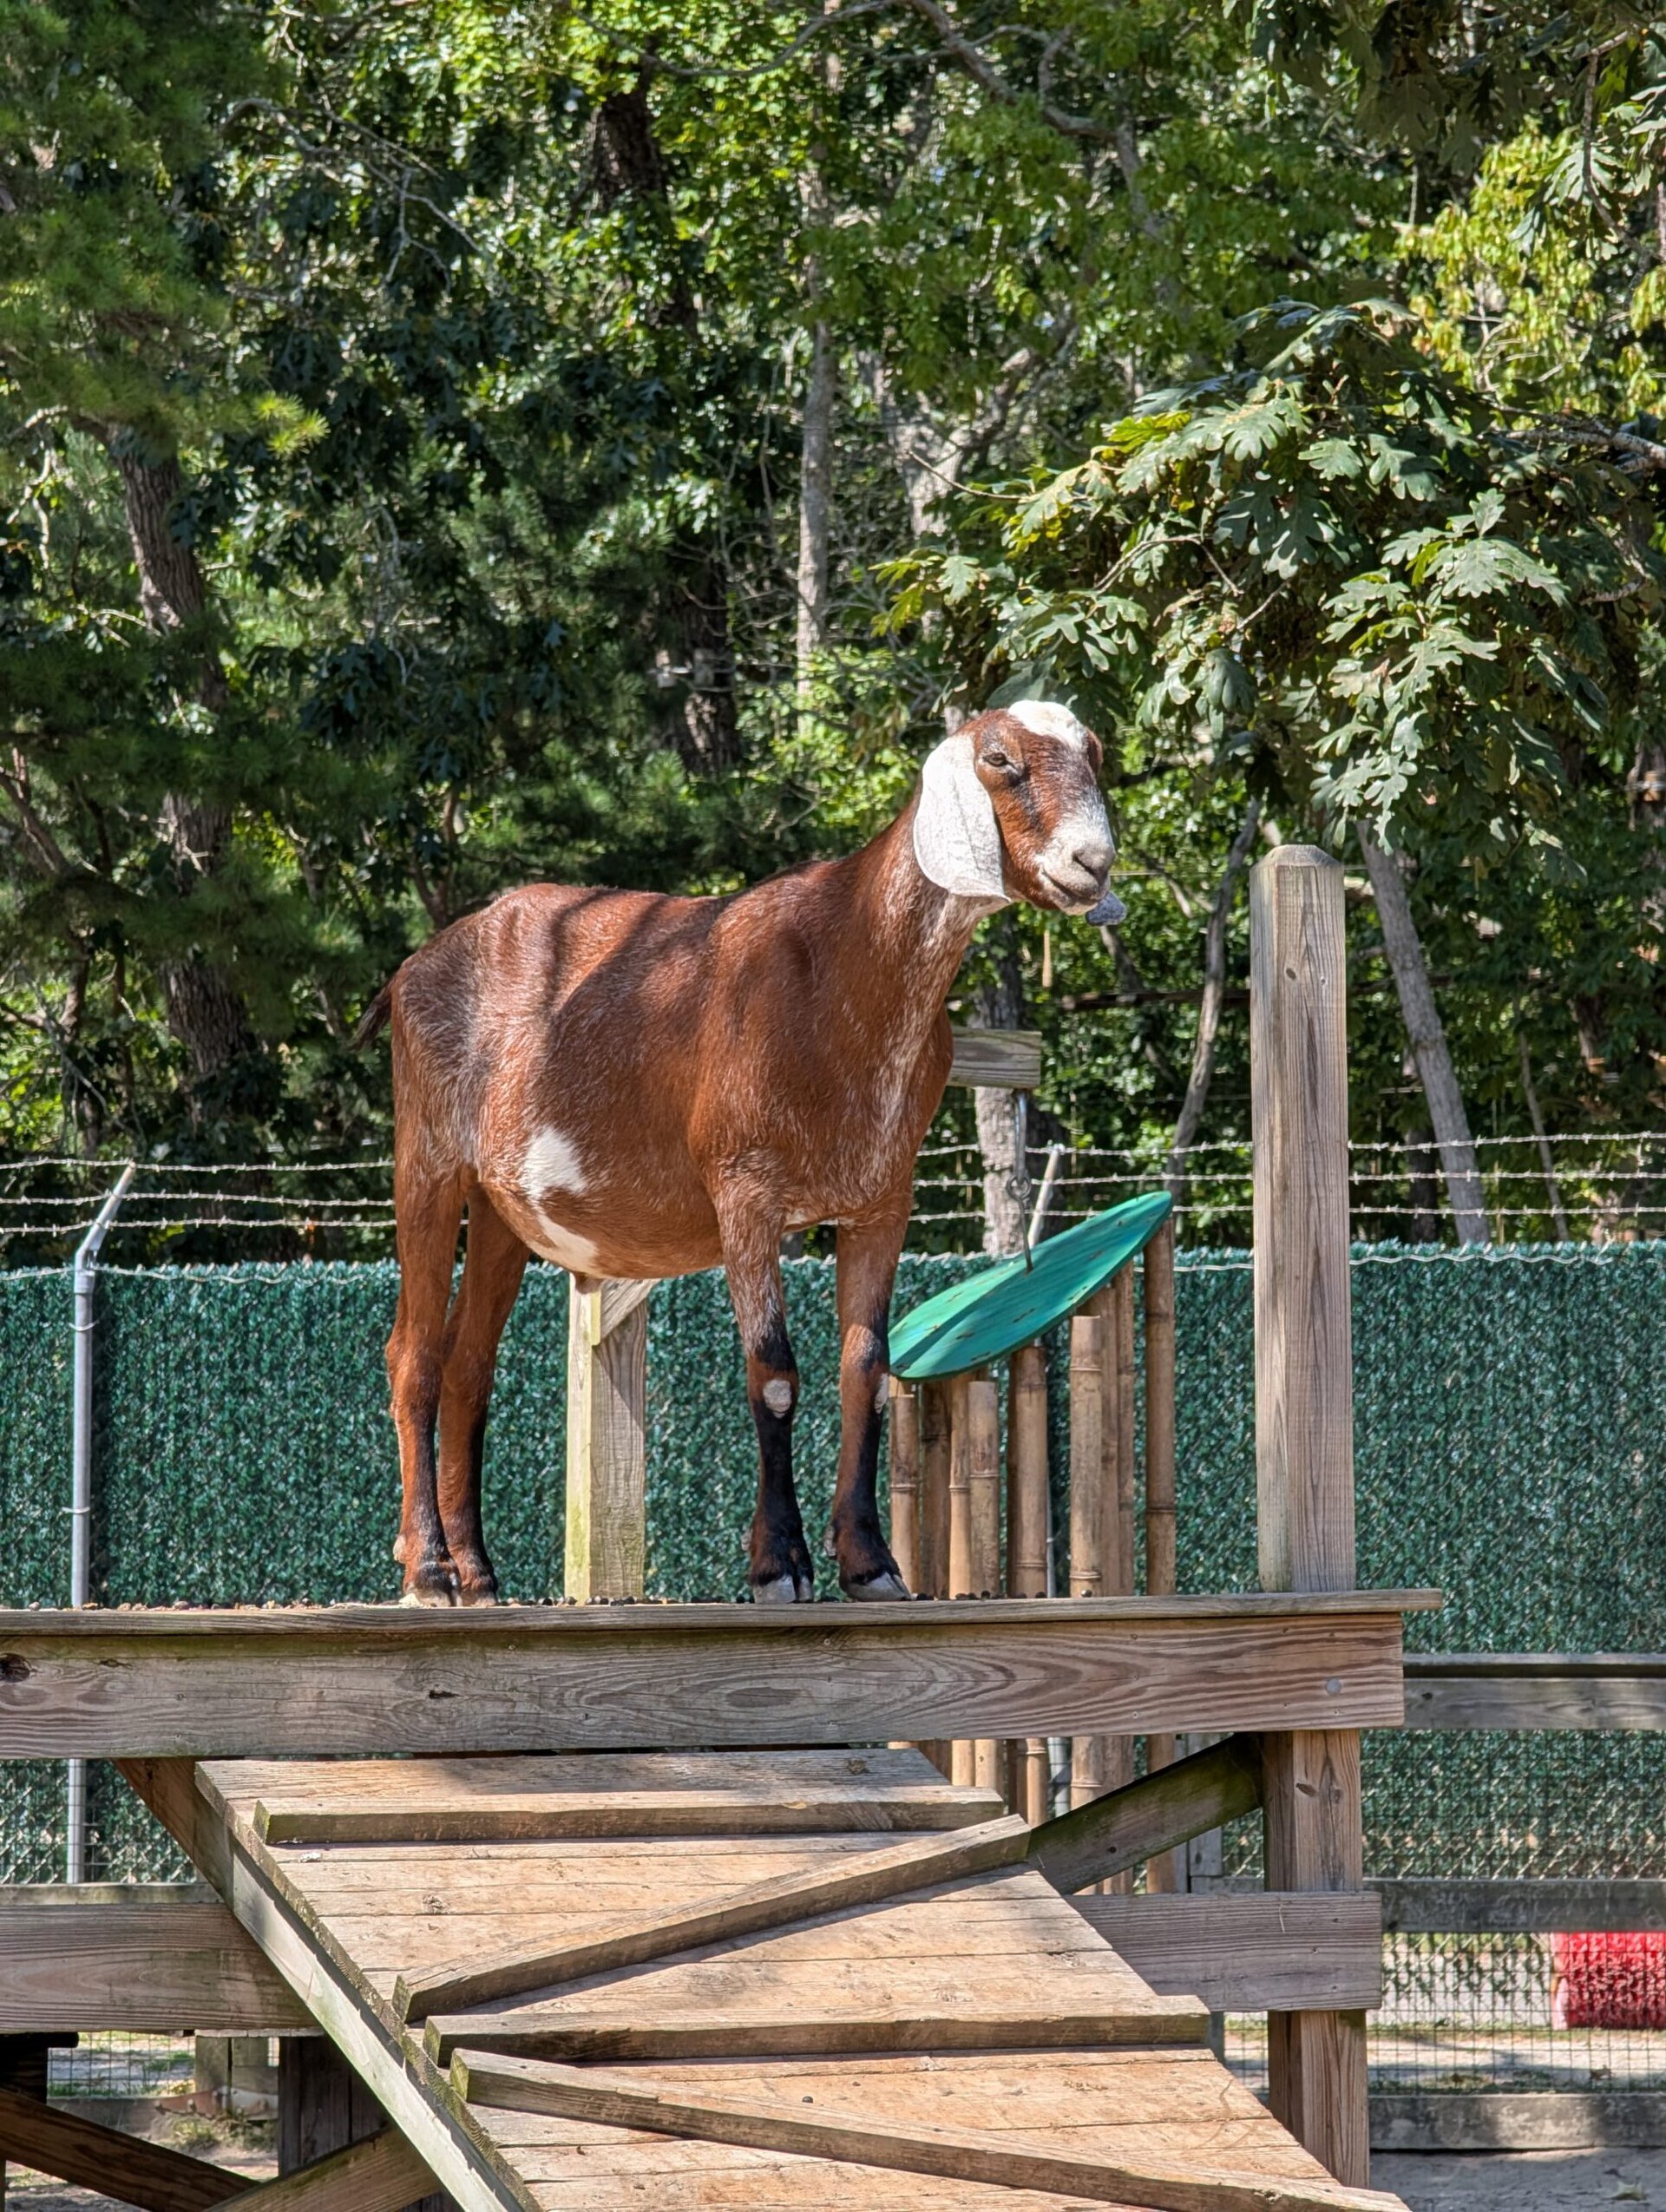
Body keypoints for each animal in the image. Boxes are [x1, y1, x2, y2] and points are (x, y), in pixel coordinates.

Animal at [363, 707, 1119, 1610]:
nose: (1093, 861)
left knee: (469, 1367)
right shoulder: (745, 1189)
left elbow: (867, 1367)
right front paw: (780, 1564)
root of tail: (410, 969)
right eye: (1001, 759)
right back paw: (430, 1570)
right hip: (430, 1158)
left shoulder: (881, 1197)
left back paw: (477, 1571)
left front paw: (869, 1563)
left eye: (1094, 752)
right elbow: (775, 1373)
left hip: (502, 1207)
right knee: (414, 1357)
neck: (844, 963)